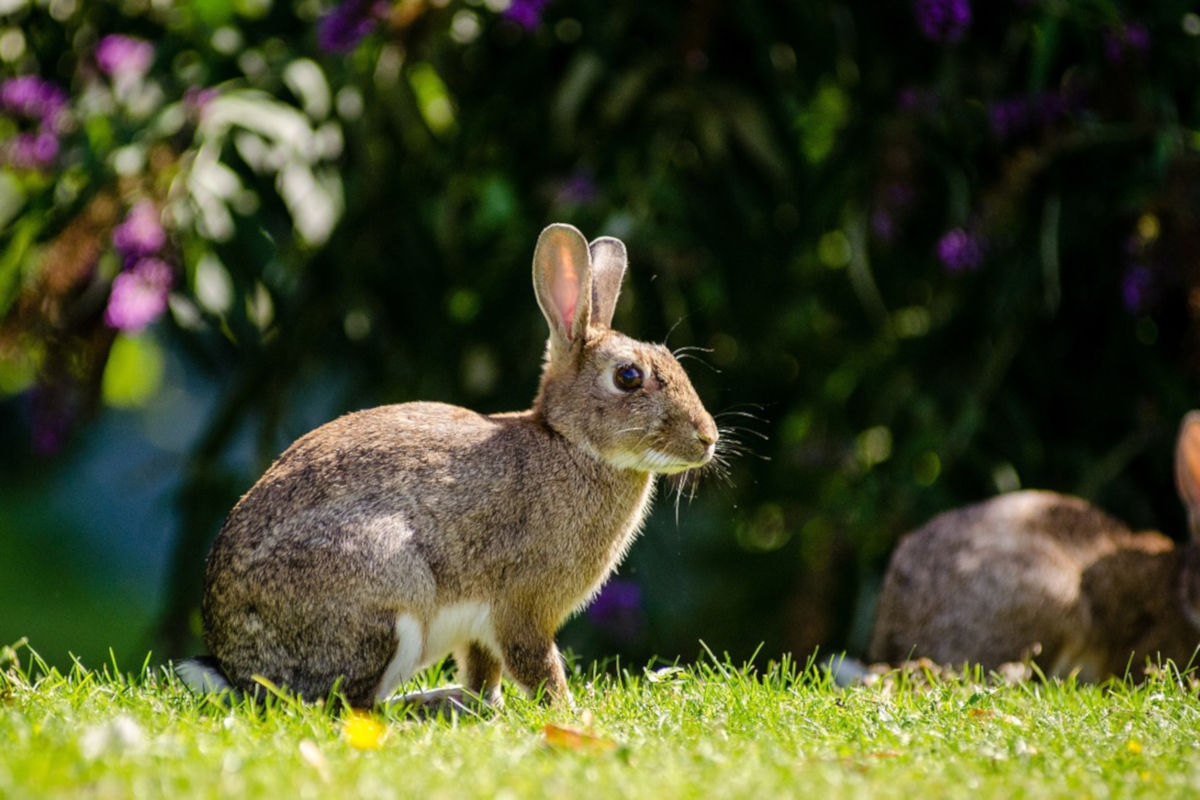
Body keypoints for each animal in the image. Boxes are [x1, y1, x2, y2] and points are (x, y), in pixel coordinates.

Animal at [175, 224, 715, 705]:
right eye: (628, 377)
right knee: (347, 705)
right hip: (389, 592)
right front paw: (568, 712)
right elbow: (536, 664)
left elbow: (484, 669)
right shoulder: (521, 606)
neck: (570, 442)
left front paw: (485, 704)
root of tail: (235, 669)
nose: (707, 439)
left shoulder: (483, 628)